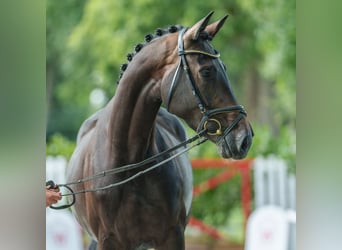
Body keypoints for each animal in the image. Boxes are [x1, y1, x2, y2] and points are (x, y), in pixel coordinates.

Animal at [67, 11, 252, 250]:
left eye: (225, 69)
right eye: (206, 71)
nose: (245, 138)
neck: (128, 164)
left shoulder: (172, 237)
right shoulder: (108, 241)